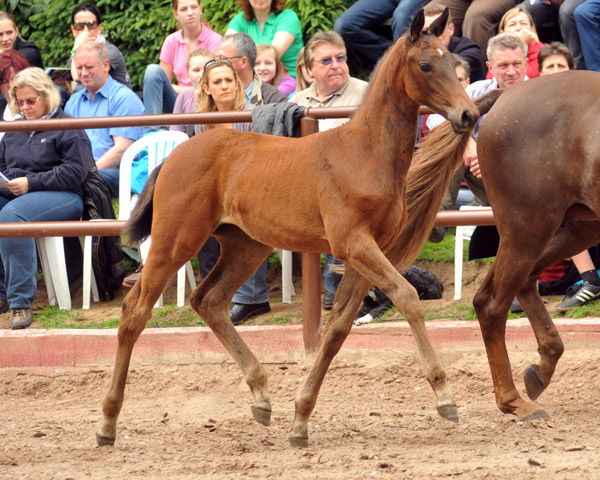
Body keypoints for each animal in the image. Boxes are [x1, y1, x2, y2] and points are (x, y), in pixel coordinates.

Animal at [95, 9, 478, 448]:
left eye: (453, 62)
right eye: (425, 65)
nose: (469, 115)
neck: (365, 154)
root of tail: (174, 156)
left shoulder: (368, 251)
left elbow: (339, 326)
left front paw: (301, 417)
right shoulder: (354, 244)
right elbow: (407, 297)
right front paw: (445, 396)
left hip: (246, 247)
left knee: (209, 301)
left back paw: (261, 396)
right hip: (176, 242)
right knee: (135, 312)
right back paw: (107, 422)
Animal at [474, 69, 600, 422]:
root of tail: (508, 93)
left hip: (576, 227)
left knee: (521, 283)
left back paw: (542, 369)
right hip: (528, 227)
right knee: (491, 304)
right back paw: (513, 401)